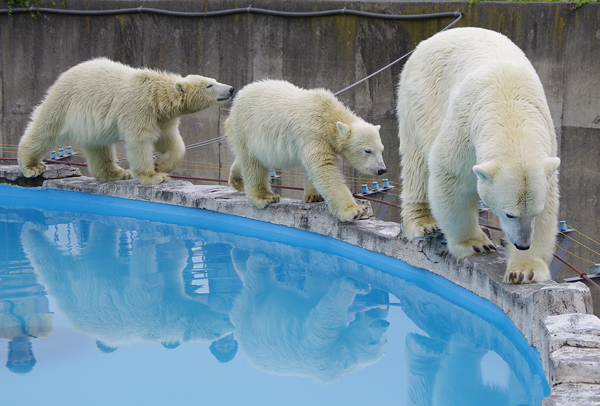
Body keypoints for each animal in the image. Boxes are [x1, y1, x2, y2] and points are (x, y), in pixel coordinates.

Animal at [17, 57, 233, 184]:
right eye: (209, 85)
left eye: (214, 80)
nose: (230, 88)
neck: (155, 95)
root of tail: (63, 75)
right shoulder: (138, 108)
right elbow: (140, 141)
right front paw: (154, 176)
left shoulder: (162, 118)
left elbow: (170, 140)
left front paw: (161, 164)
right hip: (64, 102)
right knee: (46, 128)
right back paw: (31, 166)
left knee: (99, 147)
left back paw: (116, 173)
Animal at [224, 79, 384, 222]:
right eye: (367, 151)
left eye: (381, 149)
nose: (382, 170)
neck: (327, 114)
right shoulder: (313, 133)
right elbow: (324, 168)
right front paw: (354, 210)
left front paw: (314, 196)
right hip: (247, 129)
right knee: (253, 163)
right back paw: (265, 196)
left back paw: (236, 180)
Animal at [396, 27, 560, 284]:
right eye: (509, 214)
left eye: (535, 212)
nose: (522, 244)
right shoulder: (465, 126)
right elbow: (451, 176)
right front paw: (475, 244)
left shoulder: (546, 141)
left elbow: (550, 201)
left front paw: (525, 270)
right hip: (419, 100)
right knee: (417, 162)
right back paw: (423, 223)